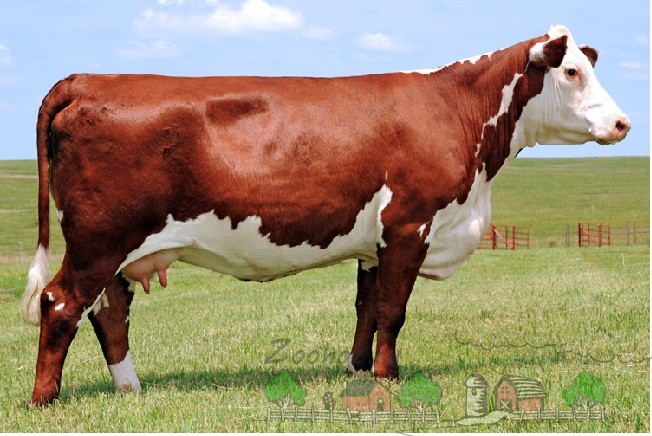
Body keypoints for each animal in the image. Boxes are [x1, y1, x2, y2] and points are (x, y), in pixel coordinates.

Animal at [22, 25, 629, 406]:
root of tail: (89, 79)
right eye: (571, 72)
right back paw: (44, 400)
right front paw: (389, 379)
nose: (623, 123)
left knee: (109, 313)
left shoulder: (374, 241)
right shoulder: (410, 225)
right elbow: (394, 311)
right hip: (99, 238)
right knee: (61, 304)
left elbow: (366, 308)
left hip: (118, 248)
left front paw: (359, 370)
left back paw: (131, 390)